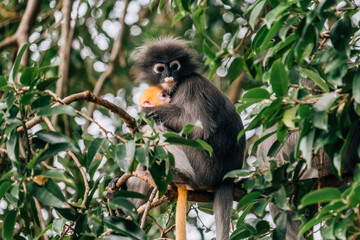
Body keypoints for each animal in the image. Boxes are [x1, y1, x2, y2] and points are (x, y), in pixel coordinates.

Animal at [131, 37, 246, 240]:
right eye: (160, 68)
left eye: (175, 66)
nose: (169, 75)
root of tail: (226, 178)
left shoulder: (191, 84)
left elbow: (200, 127)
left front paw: (146, 113)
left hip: (203, 168)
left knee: (156, 128)